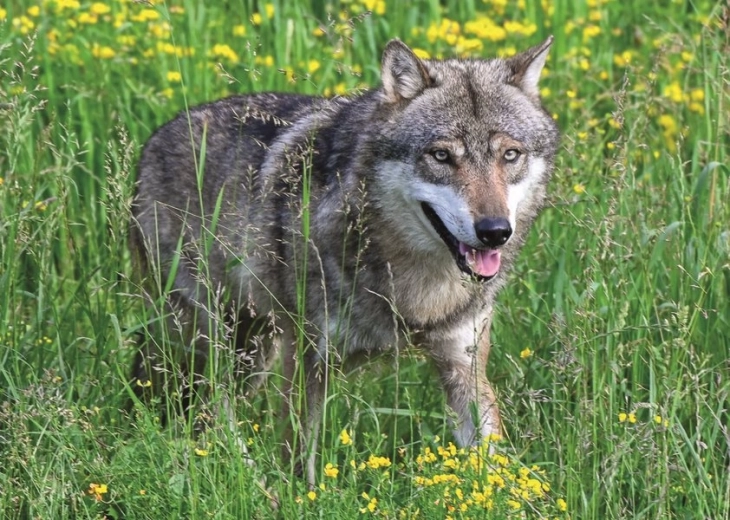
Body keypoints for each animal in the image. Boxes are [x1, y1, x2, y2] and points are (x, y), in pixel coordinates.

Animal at [130, 37, 560, 484]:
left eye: (510, 155)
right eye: (441, 156)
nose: (495, 231)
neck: (417, 287)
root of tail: (153, 142)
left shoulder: (465, 366)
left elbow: (492, 464)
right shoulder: (307, 360)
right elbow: (298, 457)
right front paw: (298, 495)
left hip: (253, 351)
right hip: (215, 342)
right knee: (209, 409)